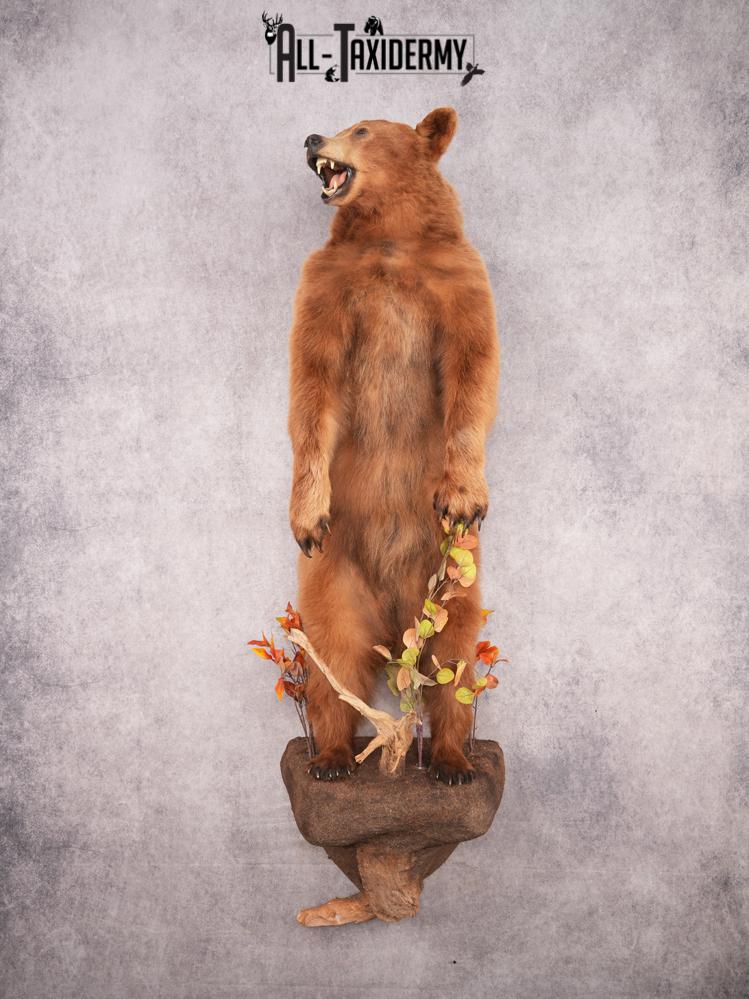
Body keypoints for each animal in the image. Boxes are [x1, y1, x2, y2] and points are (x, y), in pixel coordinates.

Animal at [288, 108, 500, 784]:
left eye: (361, 130)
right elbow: (313, 388)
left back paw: (453, 761)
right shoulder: (325, 289)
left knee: (453, 663)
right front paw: (306, 514)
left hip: (452, 577)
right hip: (333, 575)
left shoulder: (459, 280)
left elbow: (473, 371)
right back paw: (330, 757)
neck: (388, 240)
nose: (311, 137)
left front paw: (462, 494)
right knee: (333, 659)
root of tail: (391, 615)